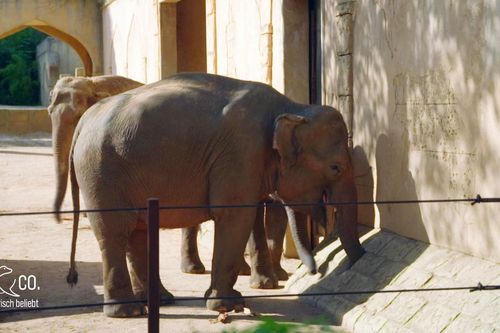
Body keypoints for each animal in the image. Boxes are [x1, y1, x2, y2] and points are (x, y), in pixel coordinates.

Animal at [64, 72, 366, 316]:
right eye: (336, 168)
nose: (316, 270)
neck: (291, 108)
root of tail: (82, 124)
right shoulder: (241, 153)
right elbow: (234, 216)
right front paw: (229, 305)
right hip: (101, 173)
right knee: (114, 232)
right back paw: (128, 312)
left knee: (138, 232)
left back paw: (160, 301)